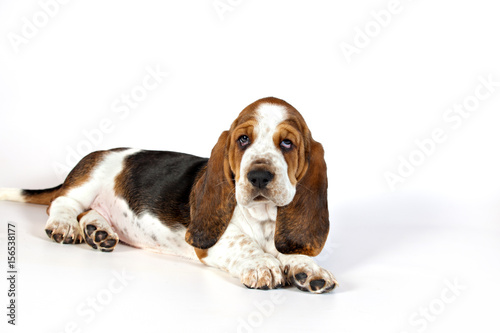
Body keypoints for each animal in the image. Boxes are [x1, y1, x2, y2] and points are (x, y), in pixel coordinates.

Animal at [0, 96, 338, 294]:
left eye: (287, 144)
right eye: (243, 139)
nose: (258, 176)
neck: (264, 217)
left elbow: (292, 250)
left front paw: (308, 268)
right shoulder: (212, 243)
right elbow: (242, 243)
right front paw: (262, 264)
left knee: (89, 212)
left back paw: (99, 230)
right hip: (90, 179)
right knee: (62, 203)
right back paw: (66, 225)